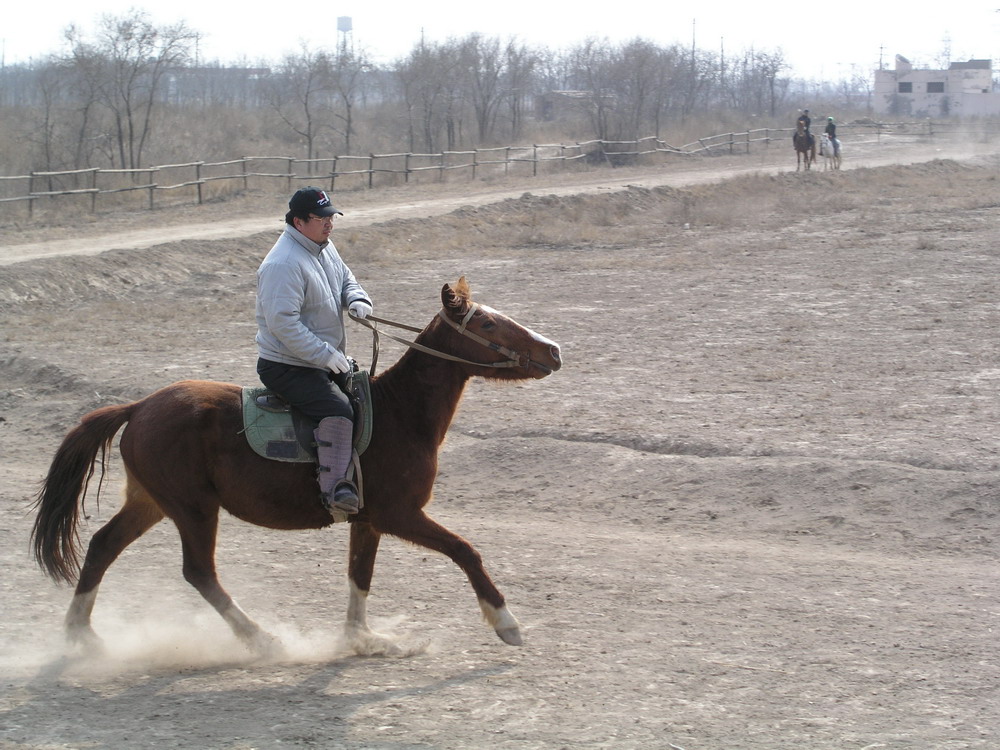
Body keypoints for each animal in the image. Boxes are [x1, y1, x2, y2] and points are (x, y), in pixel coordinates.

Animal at [29, 278, 564, 656]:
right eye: (487, 325)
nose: (554, 350)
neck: (398, 412)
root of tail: (139, 406)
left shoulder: (368, 521)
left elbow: (359, 577)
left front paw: (363, 640)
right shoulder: (399, 515)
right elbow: (465, 551)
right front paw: (507, 623)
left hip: (152, 502)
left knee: (102, 547)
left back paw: (81, 636)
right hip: (193, 508)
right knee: (199, 571)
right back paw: (262, 640)